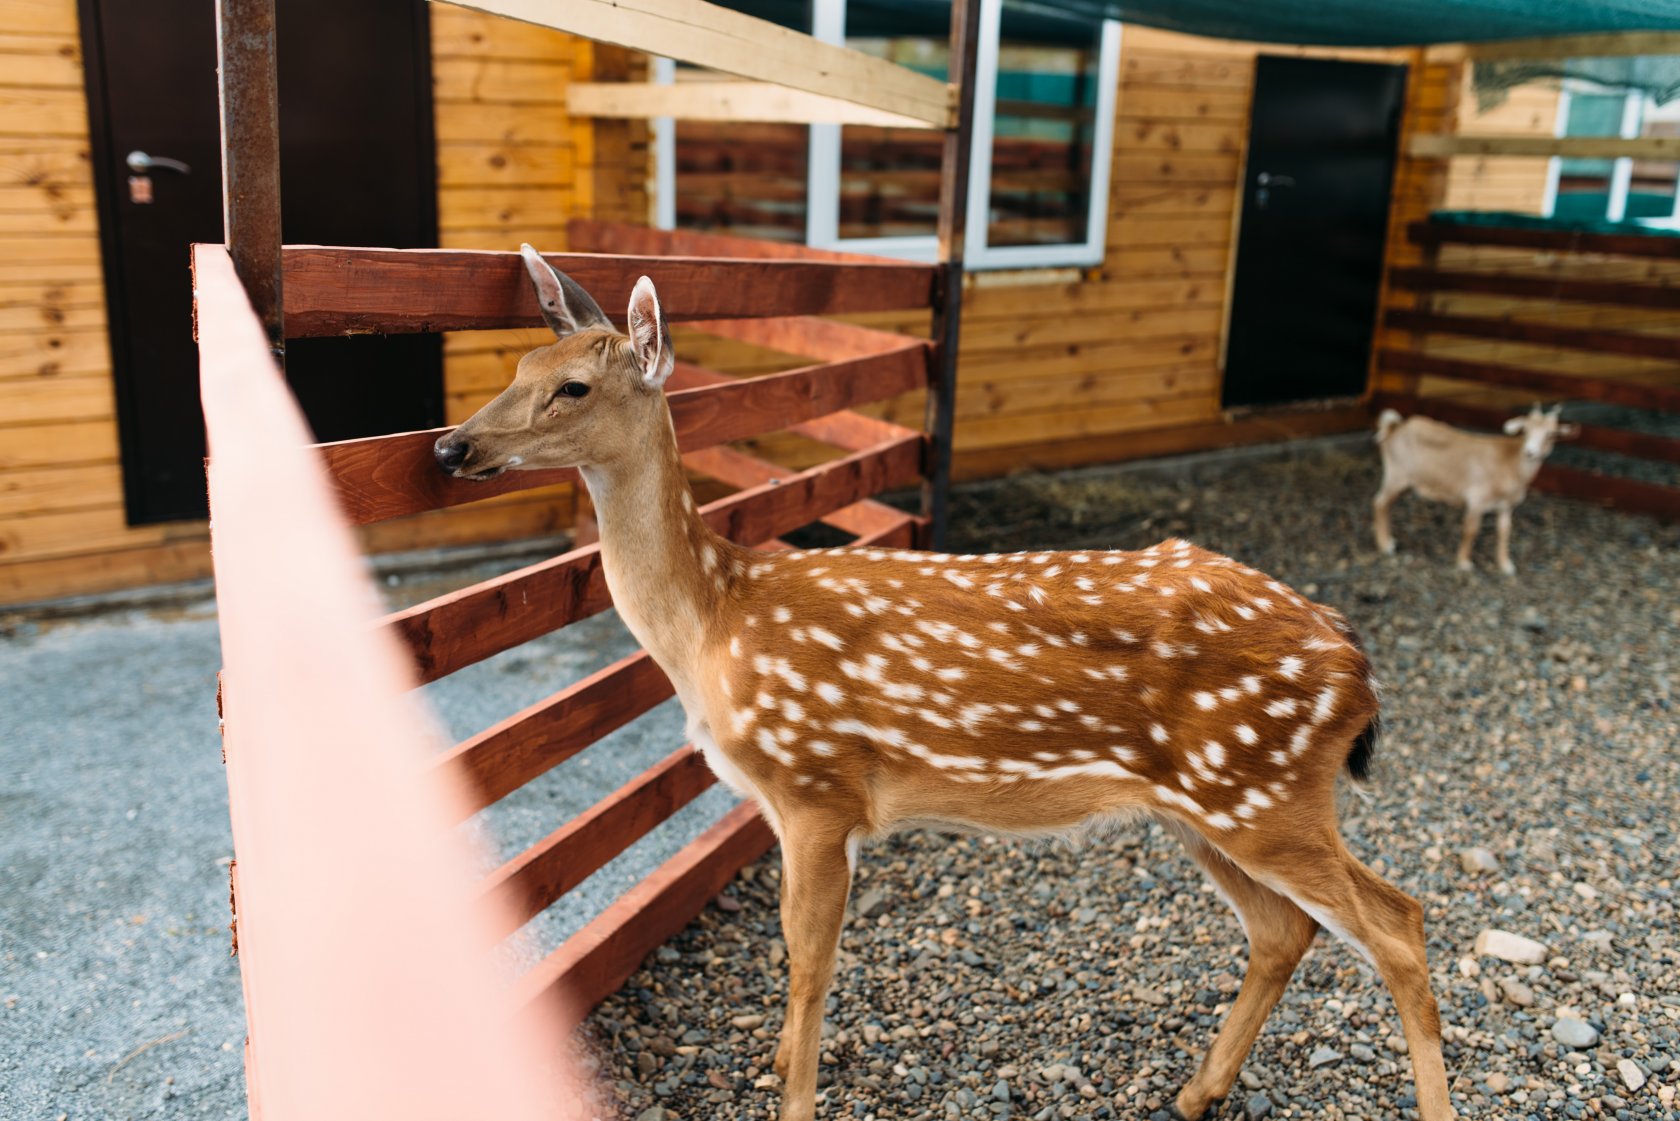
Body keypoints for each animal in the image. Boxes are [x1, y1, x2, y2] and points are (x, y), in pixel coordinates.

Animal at [1377, 405, 1572, 578]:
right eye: (1525, 430)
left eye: (1551, 434)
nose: (1530, 452)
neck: (1510, 462)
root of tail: (1394, 427)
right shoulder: (1478, 499)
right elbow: (1471, 530)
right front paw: (1464, 563)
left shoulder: (1506, 506)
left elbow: (1504, 531)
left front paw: (1506, 565)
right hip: (1397, 474)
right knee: (1380, 503)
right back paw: (1385, 545)